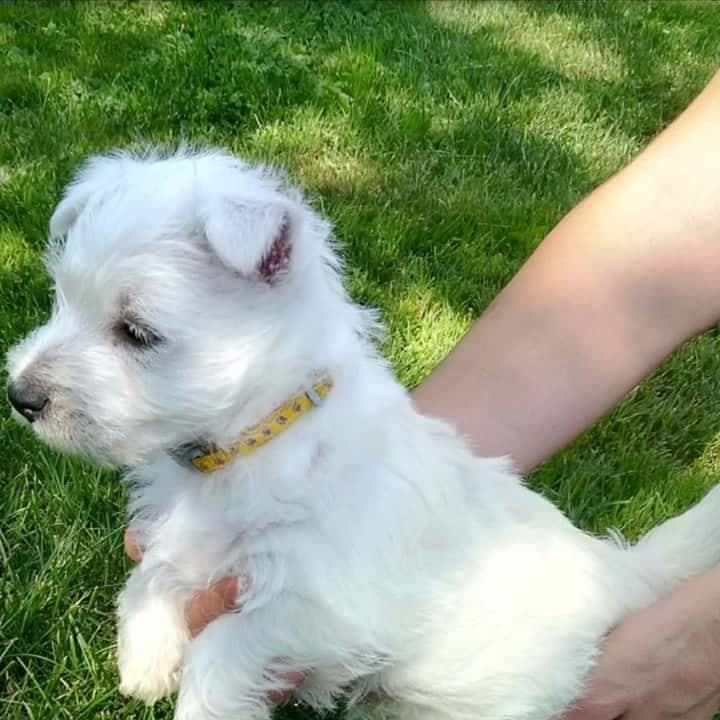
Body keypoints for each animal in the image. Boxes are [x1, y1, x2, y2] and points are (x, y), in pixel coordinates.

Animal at [8, 148, 720, 720]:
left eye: (137, 333)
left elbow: (227, 642)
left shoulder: (319, 604)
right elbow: (153, 574)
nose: (20, 397)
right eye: (61, 299)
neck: (251, 443)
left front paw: (196, 698)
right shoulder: (192, 540)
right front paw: (145, 659)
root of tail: (619, 573)